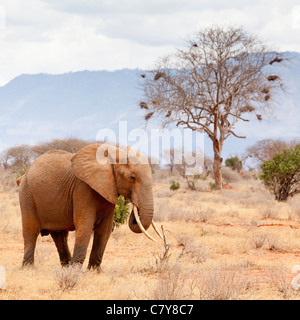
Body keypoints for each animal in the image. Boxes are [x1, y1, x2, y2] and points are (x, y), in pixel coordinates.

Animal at [17, 144, 162, 268]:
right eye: (132, 177)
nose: (133, 204)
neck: (114, 153)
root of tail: (24, 174)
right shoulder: (83, 188)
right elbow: (85, 225)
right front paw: (75, 271)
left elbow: (105, 229)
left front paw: (94, 270)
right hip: (26, 194)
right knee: (31, 231)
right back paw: (29, 268)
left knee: (60, 236)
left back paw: (65, 267)